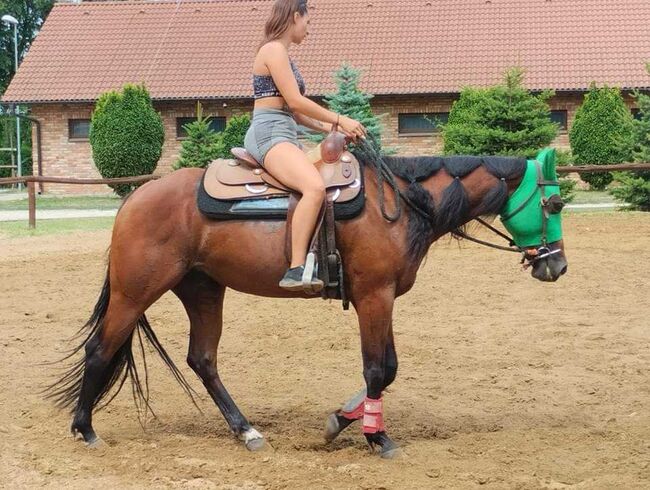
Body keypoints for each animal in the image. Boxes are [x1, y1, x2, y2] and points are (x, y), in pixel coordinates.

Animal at [49, 140, 568, 458]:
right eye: (553, 204)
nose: (557, 266)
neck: (402, 202)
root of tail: (135, 199)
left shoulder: (382, 298)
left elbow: (389, 369)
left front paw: (343, 419)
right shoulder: (374, 297)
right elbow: (377, 369)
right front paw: (378, 437)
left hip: (203, 291)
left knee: (203, 360)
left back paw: (246, 431)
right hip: (135, 292)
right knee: (100, 350)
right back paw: (86, 429)